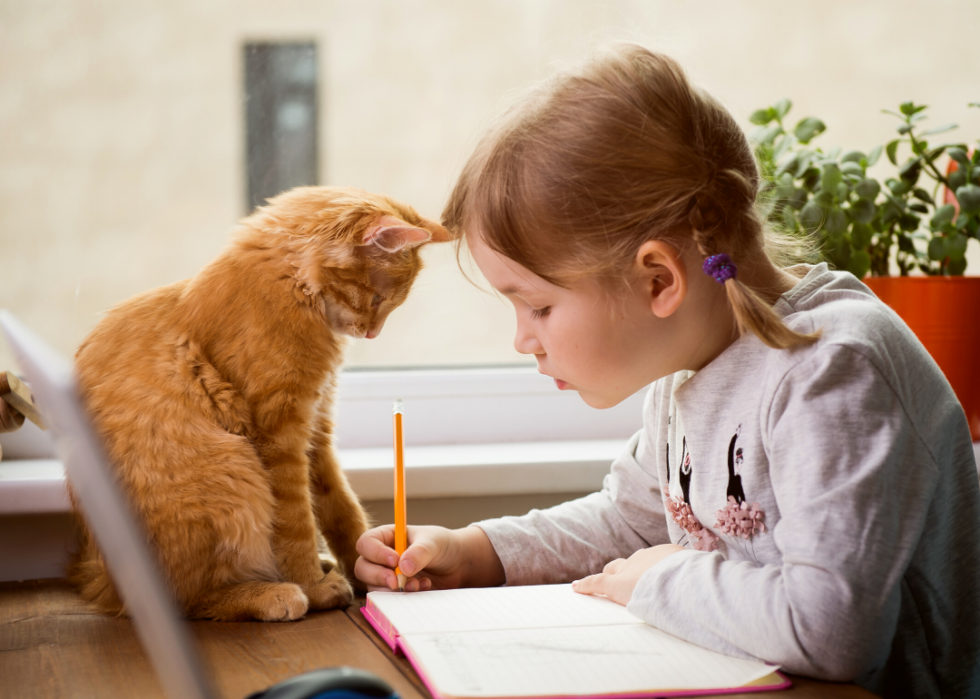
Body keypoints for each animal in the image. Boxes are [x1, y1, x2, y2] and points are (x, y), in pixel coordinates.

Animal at [71, 185, 450, 616]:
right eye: (376, 299)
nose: (372, 333)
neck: (294, 290)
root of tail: (104, 583)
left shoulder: (315, 429)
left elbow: (341, 508)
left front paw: (370, 566)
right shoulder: (279, 434)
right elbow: (296, 522)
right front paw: (313, 584)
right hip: (231, 467)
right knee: (190, 599)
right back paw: (275, 593)